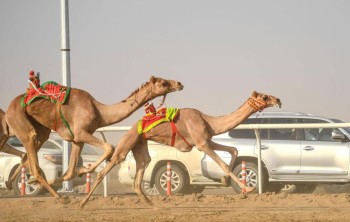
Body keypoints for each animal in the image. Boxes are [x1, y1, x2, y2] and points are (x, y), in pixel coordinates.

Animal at [2, 75, 183, 197]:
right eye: (163, 82)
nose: (179, 83)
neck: (100, 111)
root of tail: (8, 109)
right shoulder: (81, 132)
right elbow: (109, 147)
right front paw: (83, 171)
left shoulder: (77, 139)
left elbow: (69, 172)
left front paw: (80, 171)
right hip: (19, 120)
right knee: (31, 151)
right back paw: (58, 197)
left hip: (41, 130)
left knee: (28, 153)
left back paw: (14, 182)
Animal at [80, 90, 282, 208]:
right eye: (264, 97)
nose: (278, 99)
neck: (208, 121)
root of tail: (132, 127)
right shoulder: (202, 143)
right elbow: (223, 162)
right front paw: (247, 188)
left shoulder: (206, 140)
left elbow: (233, 150)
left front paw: (225, 180)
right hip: (129, 141)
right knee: (110, 163)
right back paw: (83, 199)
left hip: (140, 144)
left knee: (141, 171)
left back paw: (154, 205)